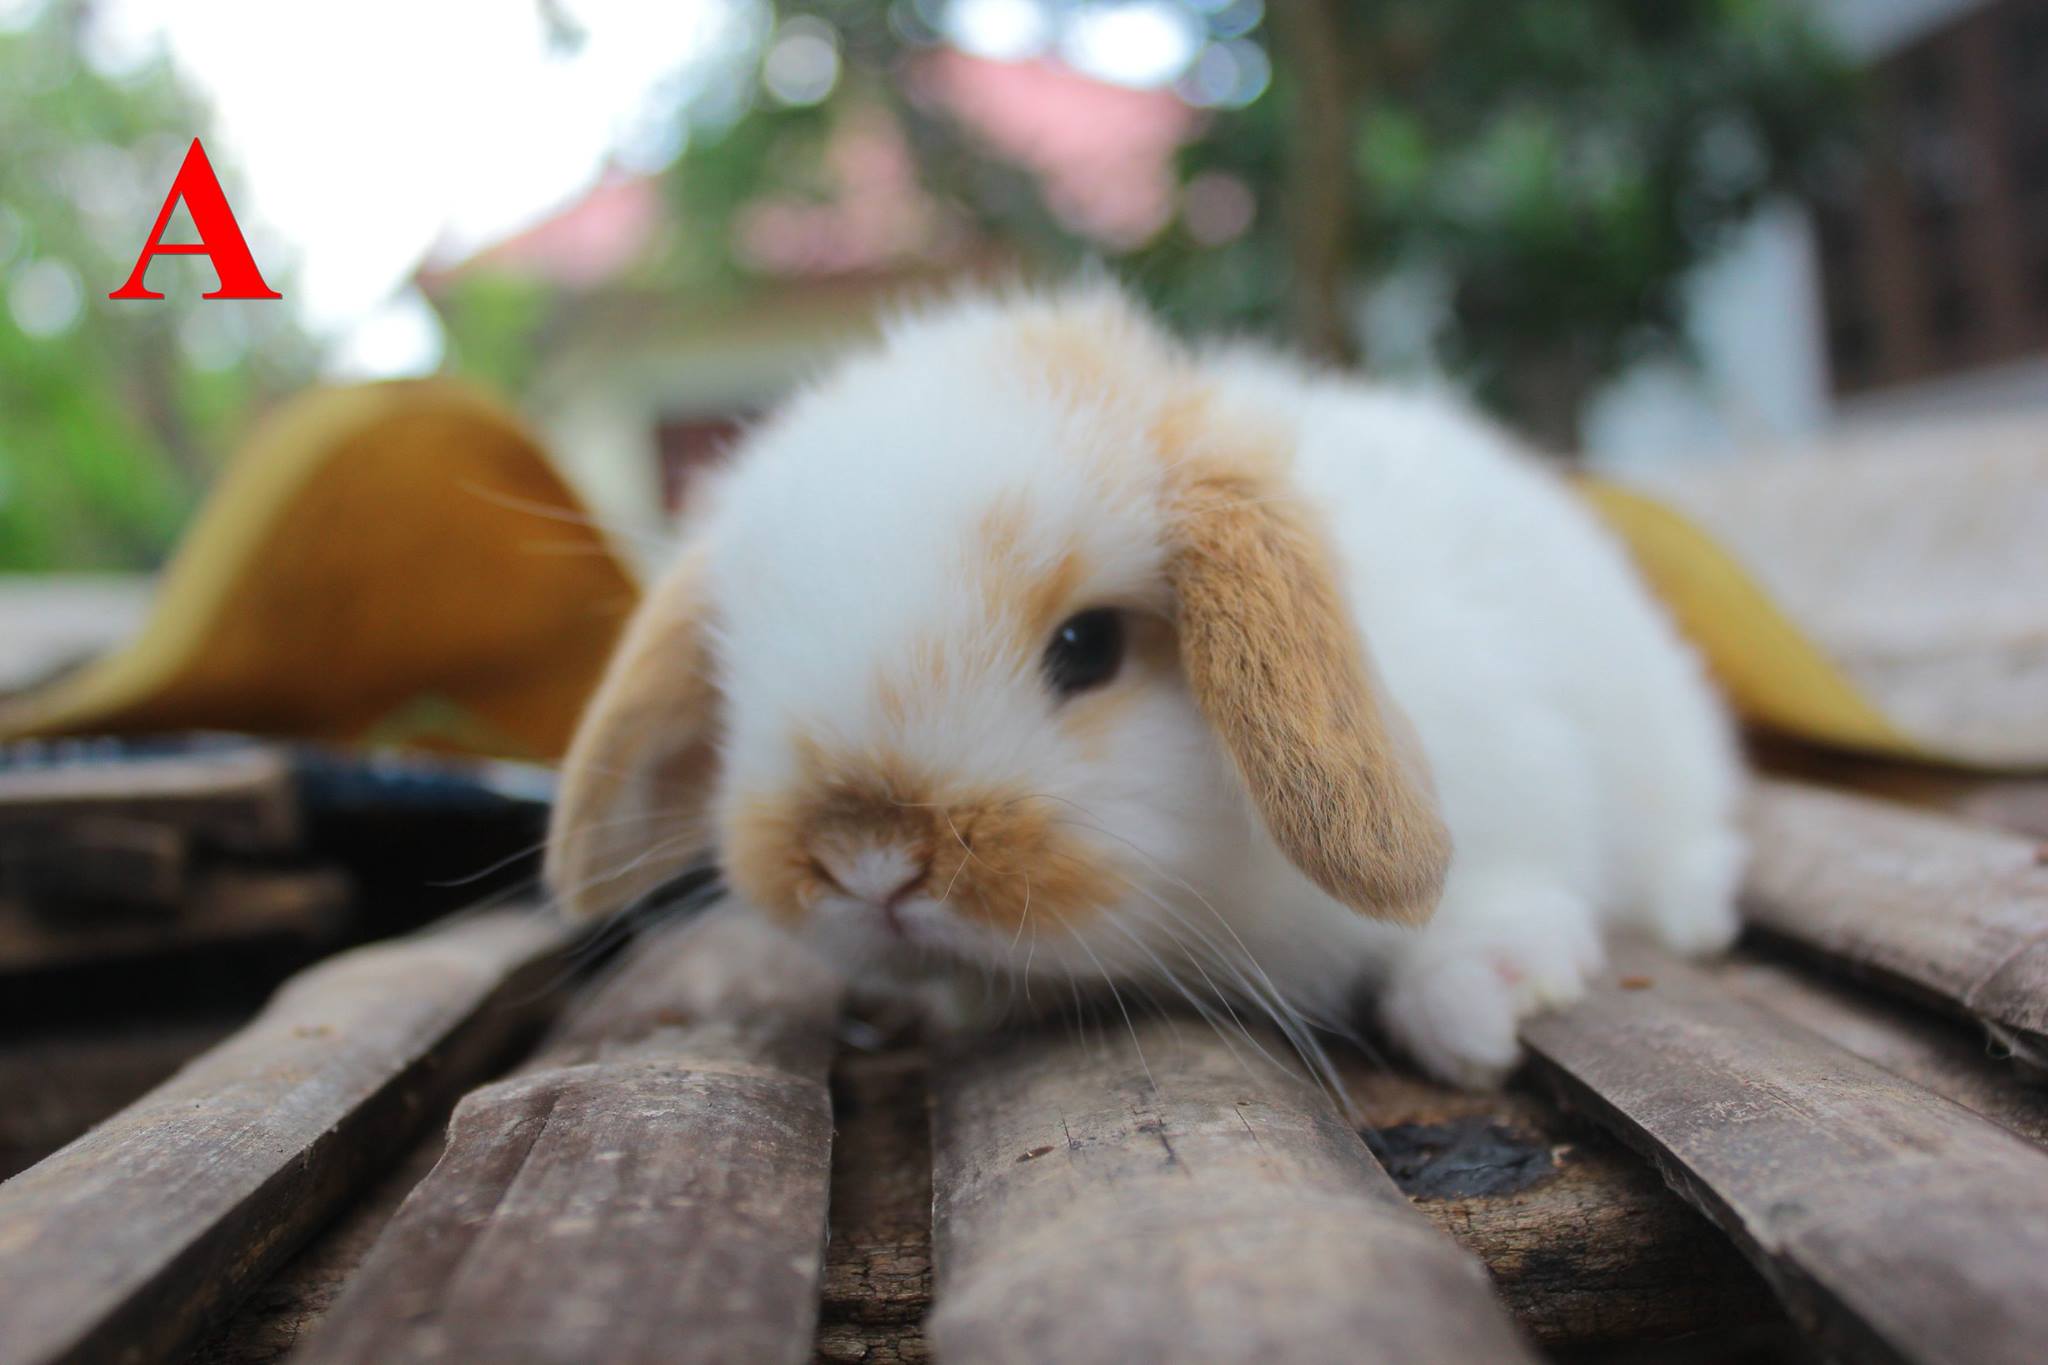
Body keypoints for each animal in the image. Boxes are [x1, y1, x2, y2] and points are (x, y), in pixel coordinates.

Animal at [545, 283, 1745, 1087]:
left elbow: (1497, 897)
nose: (866, 859)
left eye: (1087, 647)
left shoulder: (1519, 782)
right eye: (738, 670)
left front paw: (1484, 1002)